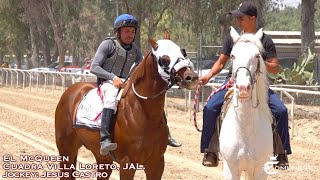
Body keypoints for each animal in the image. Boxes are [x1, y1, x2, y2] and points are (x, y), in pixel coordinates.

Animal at [56, 31, 199, 179]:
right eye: (164, 59)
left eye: (183, 52)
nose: (192, 77)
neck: (144, 113)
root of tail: (73, 90)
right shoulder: (127, 163)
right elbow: (96, 65)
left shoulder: (156, 163)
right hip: (66, 150)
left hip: (102, 158)